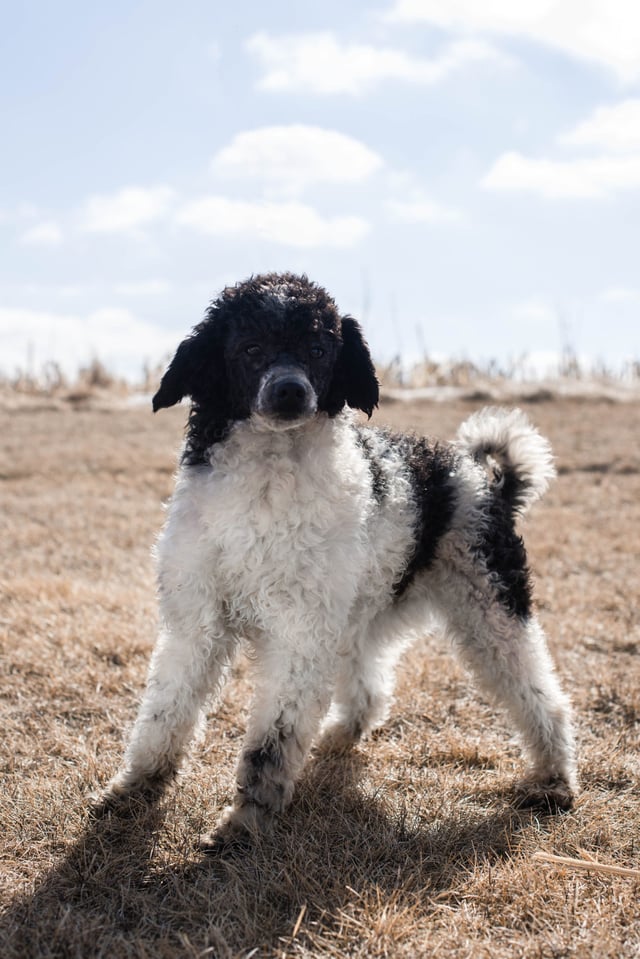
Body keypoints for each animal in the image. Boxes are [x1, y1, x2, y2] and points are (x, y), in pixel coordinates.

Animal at [102, 270, 576, 840]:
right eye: (250, 347)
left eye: (319, 348)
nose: (290, 389)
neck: (268, 483)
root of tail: (484, 480)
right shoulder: (196, 621)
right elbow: (165, 713)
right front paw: (136, 786)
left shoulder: (300, 633)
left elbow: (273, 738)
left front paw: (248, 819)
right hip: (362, 613)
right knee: (371, 687)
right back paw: (342, 733)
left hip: (490, 609)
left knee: (541, 696)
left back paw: (553, 779)